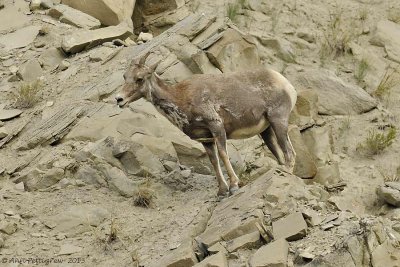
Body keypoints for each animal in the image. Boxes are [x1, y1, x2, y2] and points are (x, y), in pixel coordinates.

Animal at [115, 53, 296, 198]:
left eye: (139, 79)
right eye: (124, 76)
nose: (119, 99)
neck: (180, 98)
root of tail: (286, 84)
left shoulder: (216, 127)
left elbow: (223, 154)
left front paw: (234, 186)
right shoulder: (206, 139)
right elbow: (214, 161)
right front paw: (222, 192)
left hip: (278, 121)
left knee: (290, 153)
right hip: (267, 131)